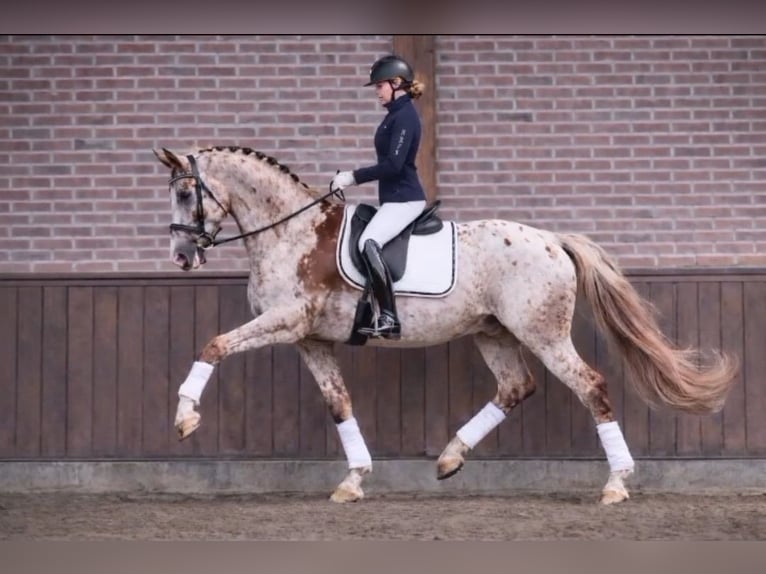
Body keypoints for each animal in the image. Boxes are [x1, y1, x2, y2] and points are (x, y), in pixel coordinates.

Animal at [154, 145, 738, 505]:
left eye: (185, 193)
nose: (181, 256)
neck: (290, 232)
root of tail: (552, 240)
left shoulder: (285, 321)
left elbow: (213, 345)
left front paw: (185, 419)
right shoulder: (310, 340)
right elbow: (339, 404)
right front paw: (354, 480)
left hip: (543, 333)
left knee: (590, 385)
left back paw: (616, 484)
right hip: (492, 332)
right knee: (515, 386)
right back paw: (449, 458)